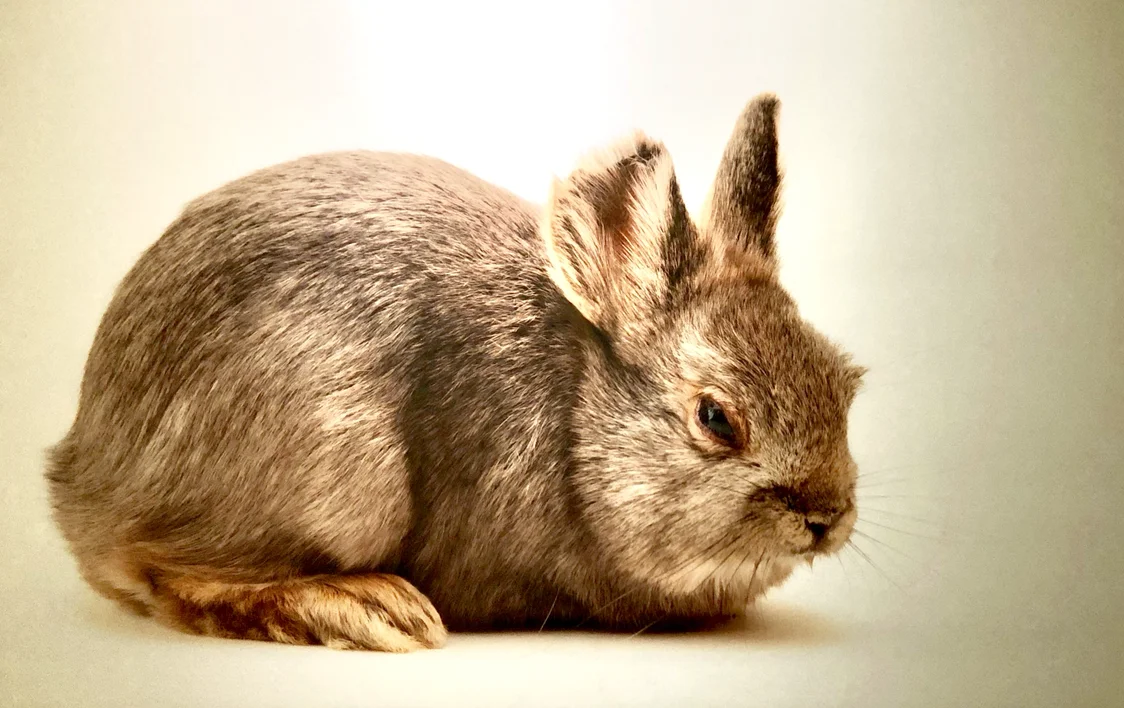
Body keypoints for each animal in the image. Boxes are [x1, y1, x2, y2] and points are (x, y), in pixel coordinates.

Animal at [46, 94, 864, 651]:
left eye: (845, 382)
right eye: (716, 418)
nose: (825, 516)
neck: (579, 416)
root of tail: (82, 480)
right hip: (337, 474)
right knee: (171, 574)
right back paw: (369, 609)